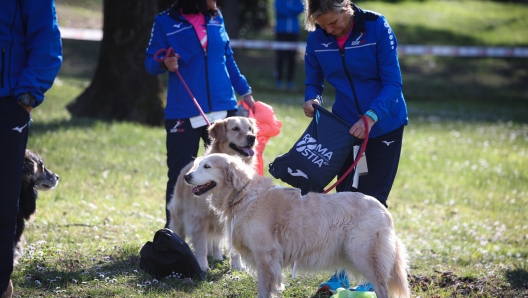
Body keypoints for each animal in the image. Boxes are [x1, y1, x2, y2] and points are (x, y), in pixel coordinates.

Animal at [165, 117, 256, 272]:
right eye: (235, 128)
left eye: (250, 128)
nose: (252, 137)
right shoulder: (199, 219)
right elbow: (201, 247)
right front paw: (202, 266)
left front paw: (237, 266)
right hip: (179, 216)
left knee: (216, 240)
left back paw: (217, 255)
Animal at [184, 154, 410, 298]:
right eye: (197, 164)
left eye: (207, 166)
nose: (186, 176)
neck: (243, 195)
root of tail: (383, 209)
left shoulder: (265, 255)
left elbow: (264, 288)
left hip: (364, 255)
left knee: (382, 288)